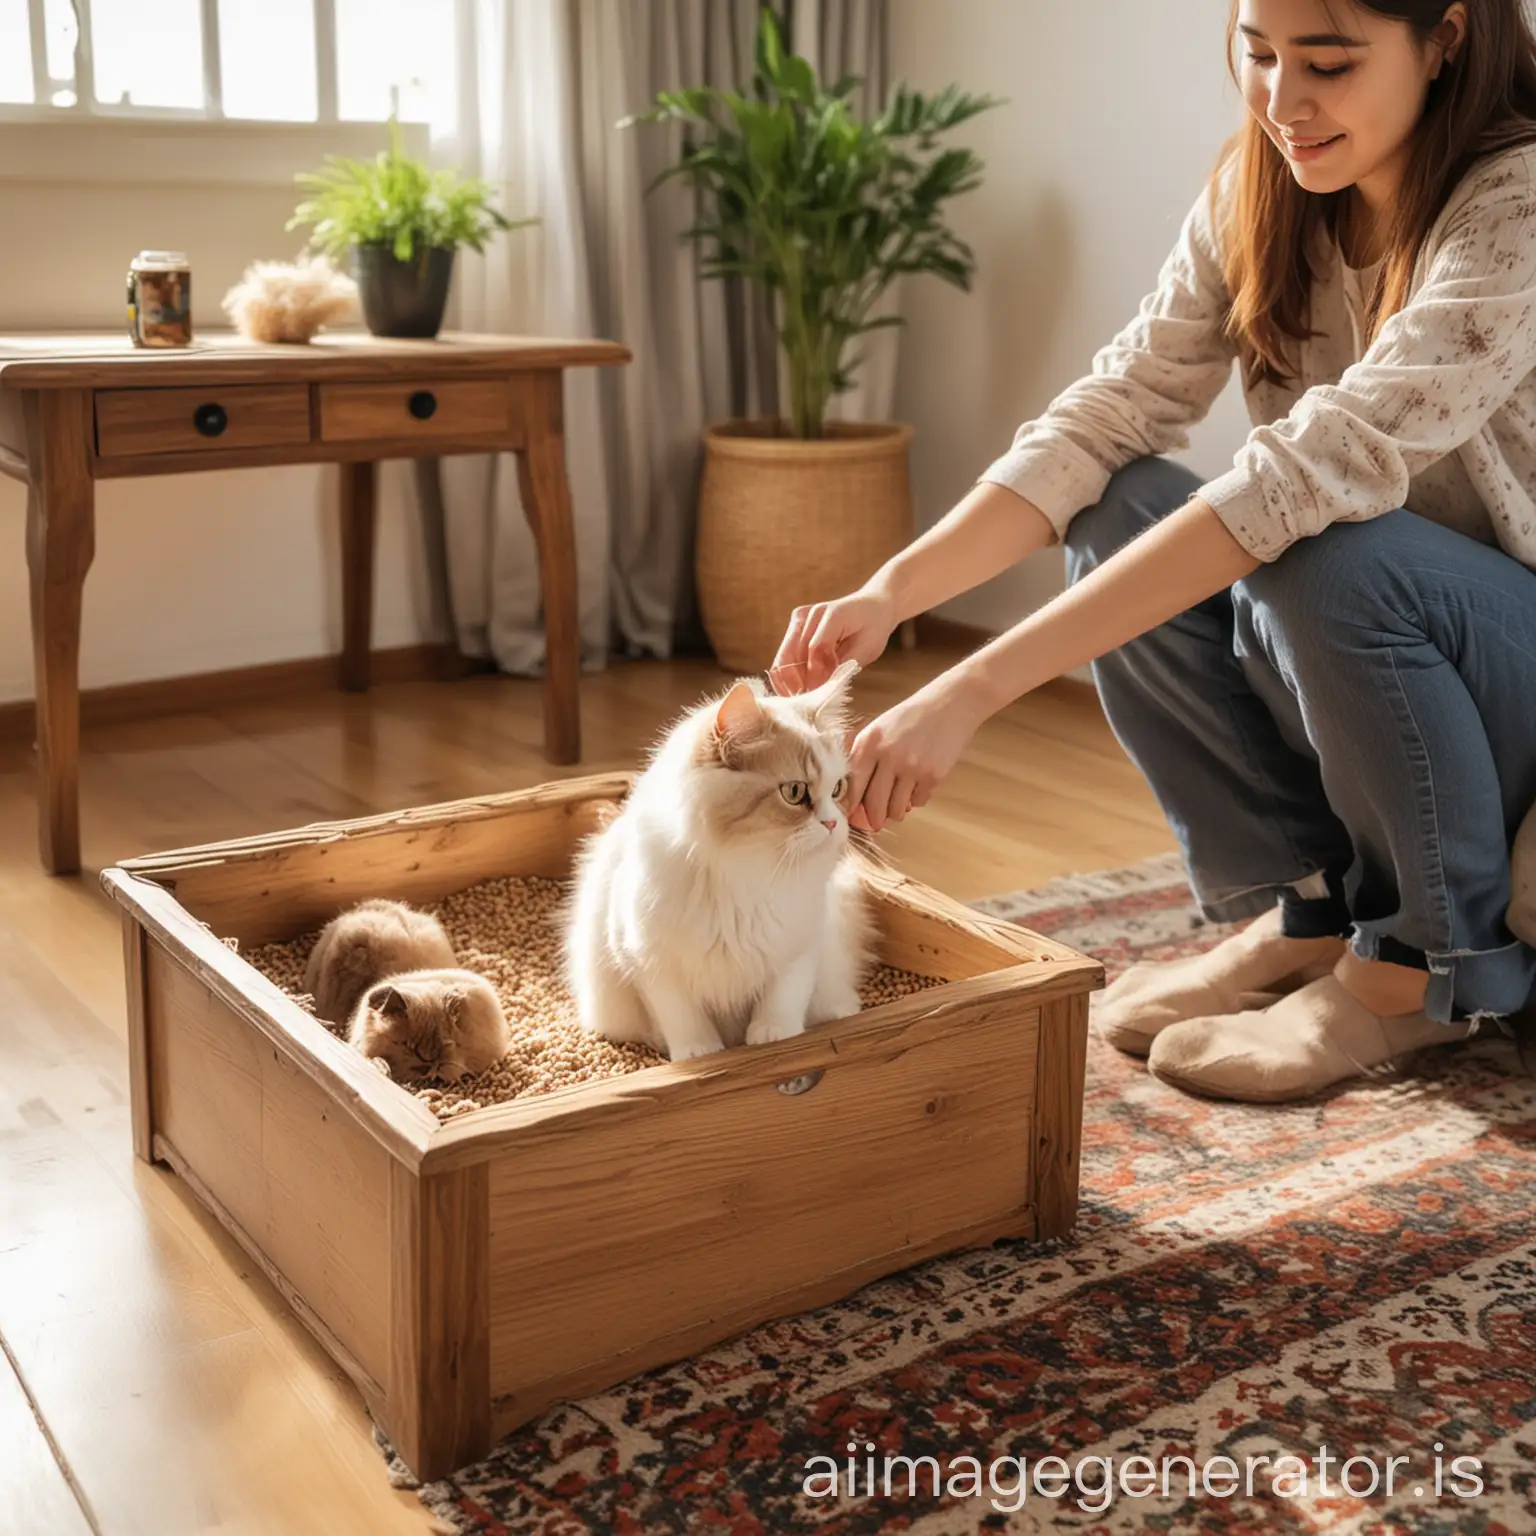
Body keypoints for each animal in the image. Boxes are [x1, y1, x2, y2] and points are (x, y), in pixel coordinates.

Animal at [565, 660, 878, 1056]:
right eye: (795, 792)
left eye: (838, 789)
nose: (833, 823)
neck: (748, 869)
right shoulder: (649, 959)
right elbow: (682, 1016)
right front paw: (699, 1052)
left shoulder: (799, 945)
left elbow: (783, 998)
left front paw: (775, 1035)